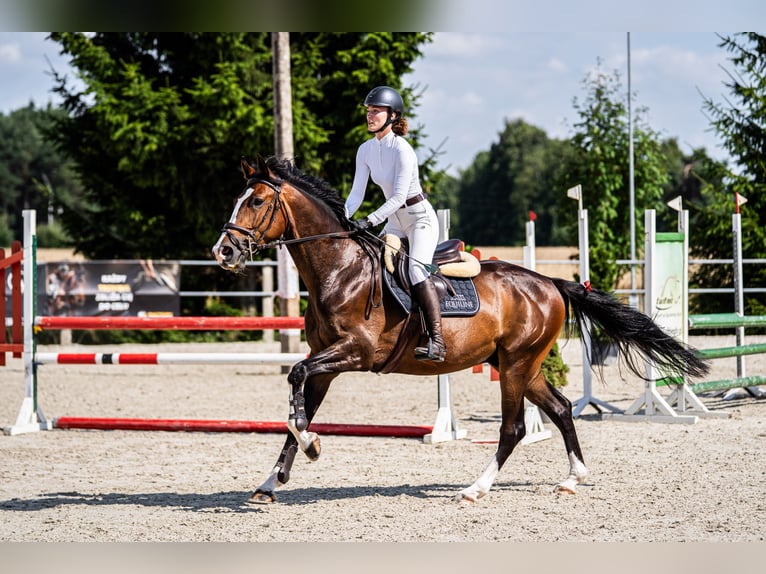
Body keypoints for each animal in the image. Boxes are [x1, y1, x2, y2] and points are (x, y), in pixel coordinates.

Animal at [212, 155, 709, 504]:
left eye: (256, 201)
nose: (223, 251)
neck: (339, 269)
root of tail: (549, 282)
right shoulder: (327, 363)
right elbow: (299, 410)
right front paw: (272, 480)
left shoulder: (355, 352)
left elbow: (296, 380)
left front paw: (311, 448)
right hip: (519, 365)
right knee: (562, 408)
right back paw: (572, 479)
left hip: (515, 365)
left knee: (514, 428)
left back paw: (475, 488)